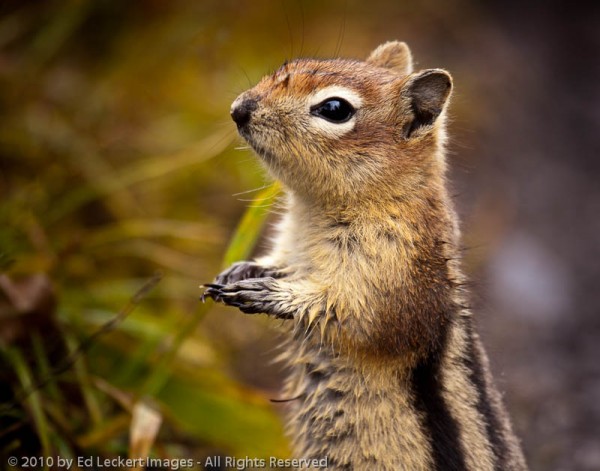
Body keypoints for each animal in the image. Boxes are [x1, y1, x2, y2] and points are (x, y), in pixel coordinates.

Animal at [205, 41, 524, 471]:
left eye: (334, 109)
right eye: (292, 64)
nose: (239, 108)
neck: (314, 212)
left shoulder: (397, 269)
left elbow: (360, 314)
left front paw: (270, 295)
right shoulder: (292, 247)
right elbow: (281, 265)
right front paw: (242, 271)